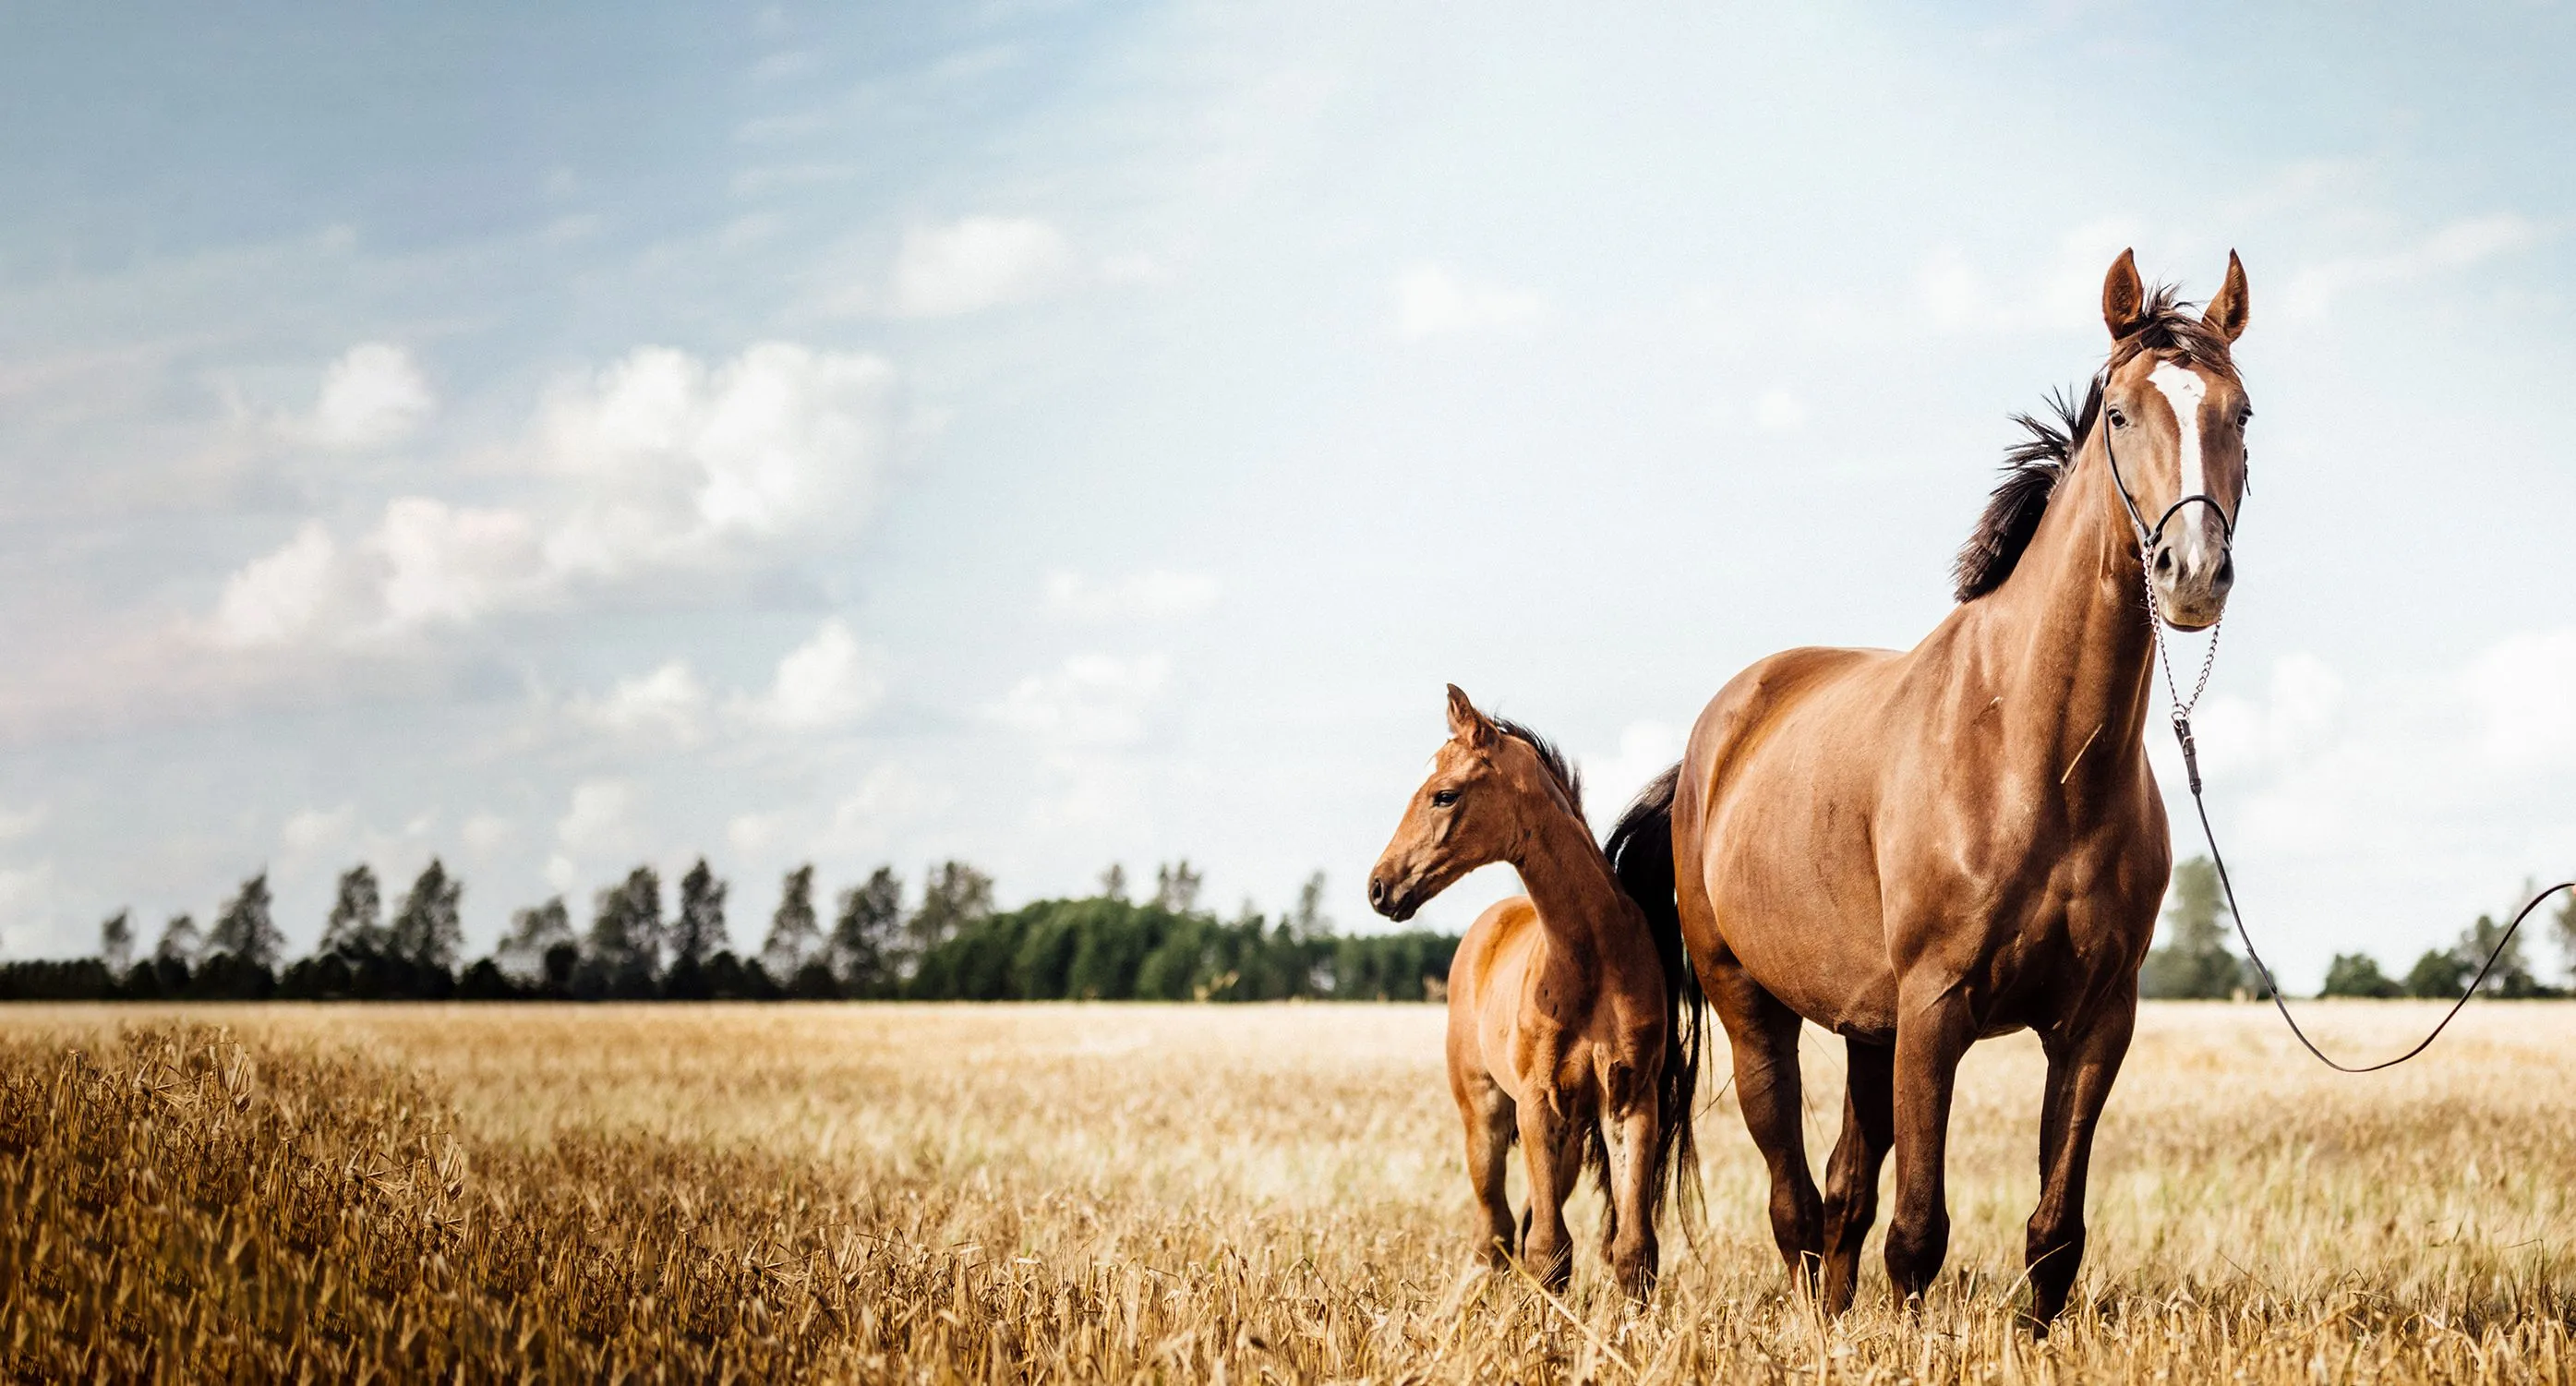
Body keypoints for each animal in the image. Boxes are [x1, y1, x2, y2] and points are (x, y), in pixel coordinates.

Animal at [1370, 685, 1710, 1298]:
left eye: (1444, 795)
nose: (1379, 887)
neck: (1590, 963)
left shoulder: (1630, 1101)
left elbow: (1632, 1249)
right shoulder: (1536, 1103)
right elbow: (1548, 1249)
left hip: (1570, 1140)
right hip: (1484, 1115)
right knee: (1495, 1230)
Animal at [1607, 251, 2257, 1329]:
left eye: (2240, 413)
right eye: (2122, 412)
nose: (2192, 570)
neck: (2036, 756)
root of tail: (1710, 743)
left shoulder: (2096, 1022)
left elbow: (2052, 1234)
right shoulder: (1937, 1008)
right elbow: (1918, 1232)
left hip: (1869, 1026)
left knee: (1840, 1191)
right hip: (1756, 1007)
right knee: (1795, 1197)